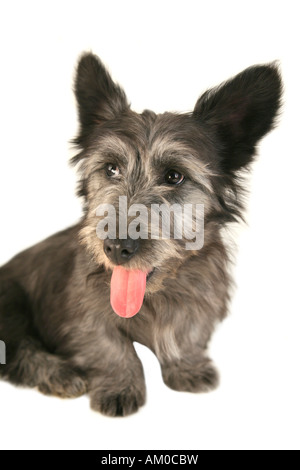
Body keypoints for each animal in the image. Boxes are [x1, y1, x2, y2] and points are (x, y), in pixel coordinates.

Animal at [0, 53, 282, 416]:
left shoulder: (200, 299)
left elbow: (185, 332)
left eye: (174, 176)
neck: (155, 294)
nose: (116, 247)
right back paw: (58, 373)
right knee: (17, 350)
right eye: (111, 169)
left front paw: (186, 367)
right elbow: (112, 346)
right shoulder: (83, 314)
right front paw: (120, 385)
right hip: (11, 299)